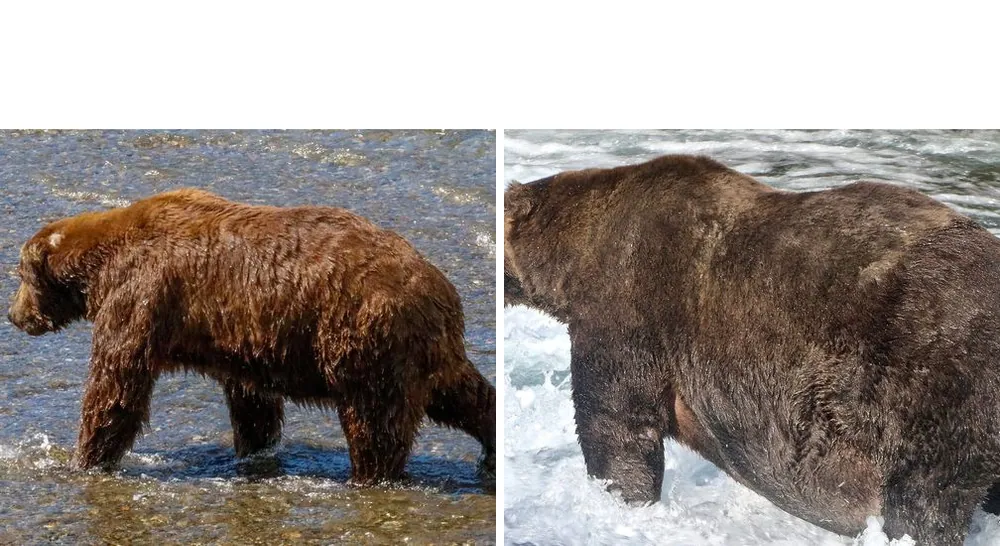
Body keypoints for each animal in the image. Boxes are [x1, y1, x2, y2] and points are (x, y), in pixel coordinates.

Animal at [7, 188, 495, 484]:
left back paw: (368, 475)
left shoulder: (141, 295)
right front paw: (252, 449)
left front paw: (85, 460)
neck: (100, 266)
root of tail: (439, 288)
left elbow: (116, 388)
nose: (13, 315)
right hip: (428, 351)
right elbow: (252, 402)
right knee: (465, 394)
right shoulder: (242, 342)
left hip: (365, 339)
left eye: (21, 275)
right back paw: (490, 447)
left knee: (375, 423)